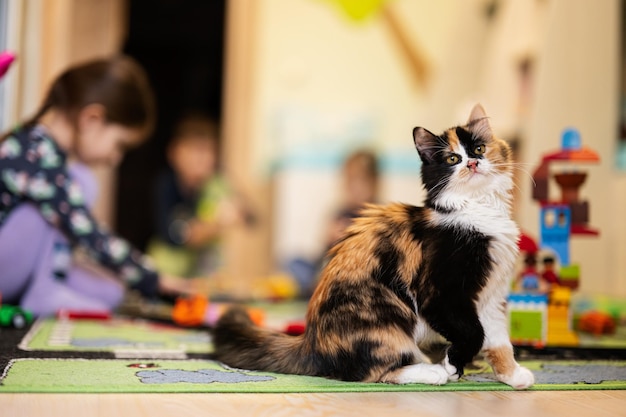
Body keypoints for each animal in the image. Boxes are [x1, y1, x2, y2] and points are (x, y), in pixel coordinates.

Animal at [212, 105, 532, 390]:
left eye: (479, 149)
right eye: (453, 158)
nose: (472, 163)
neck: (478, 211)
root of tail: (312, 343)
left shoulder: (490, 297)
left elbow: (499, 340)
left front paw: (513, 375)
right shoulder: (441, 293)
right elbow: (473, 332)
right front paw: (454, 364)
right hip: (387, 318)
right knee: (374, 373)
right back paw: (432, 371)